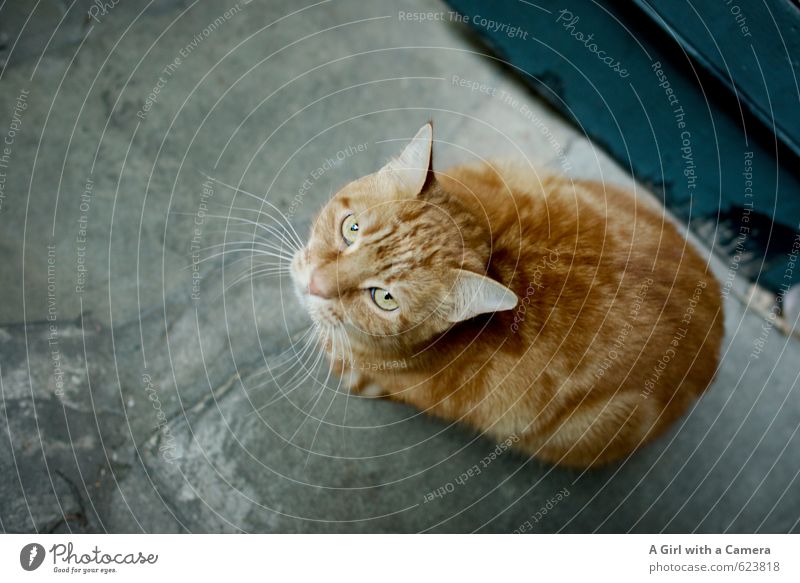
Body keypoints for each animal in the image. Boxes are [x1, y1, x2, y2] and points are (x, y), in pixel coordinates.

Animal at [292, 124, 724, 470]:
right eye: (351, 228)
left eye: (384, 299)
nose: (314, 284)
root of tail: (715, 335)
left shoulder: (368, 374)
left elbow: (338, 352)